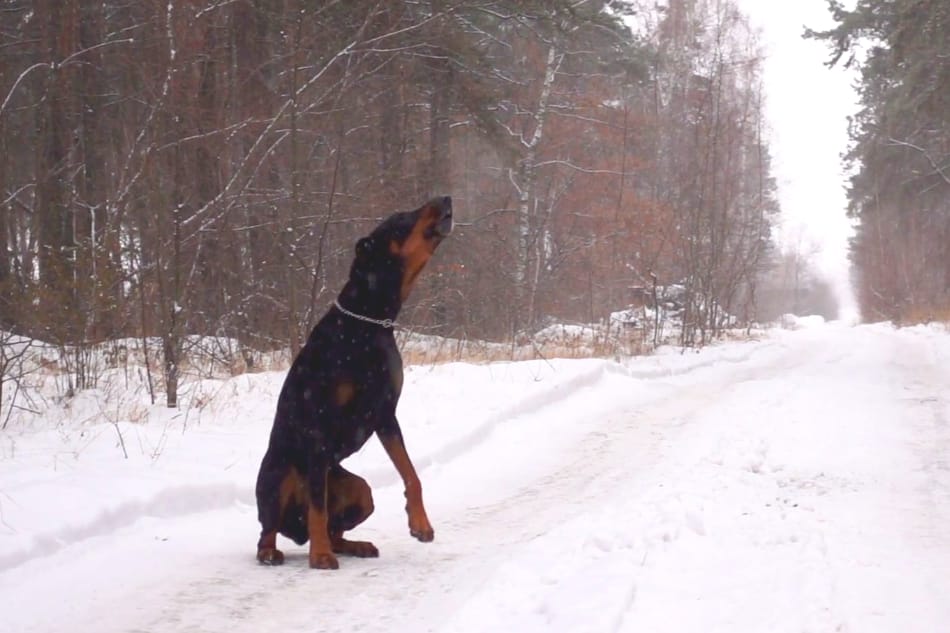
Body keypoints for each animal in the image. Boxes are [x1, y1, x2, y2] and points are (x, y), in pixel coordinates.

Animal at [256, 194, 454, 568]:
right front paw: (319, 556)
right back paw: (277, 550)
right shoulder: (319, 421)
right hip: (281, 472)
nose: (445, 198)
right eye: (401, 218)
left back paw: (354, 545)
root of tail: (295, 531)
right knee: (269, 528)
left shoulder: (385, 414)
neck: (369, 323)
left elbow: (411, 474)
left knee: (335, 527)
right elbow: (317, 503)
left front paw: (420, 524)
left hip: (359, 489)